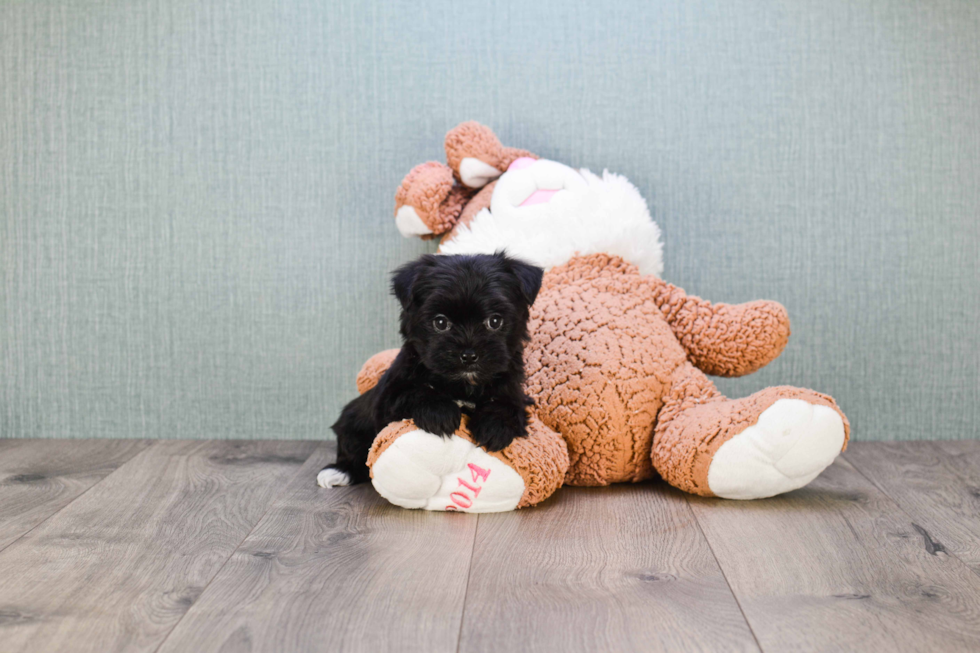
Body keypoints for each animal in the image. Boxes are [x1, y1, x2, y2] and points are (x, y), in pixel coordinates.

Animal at [318, 252, 544, 486]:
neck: (462, 384)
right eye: (440, 322)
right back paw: (340, 471)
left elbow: (506, 405)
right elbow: (415, 391)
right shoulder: (389, 396)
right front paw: (440, 413)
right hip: (353, 420)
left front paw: (495, 427)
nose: (468, 355)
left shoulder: (513, 391)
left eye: (495, 321)